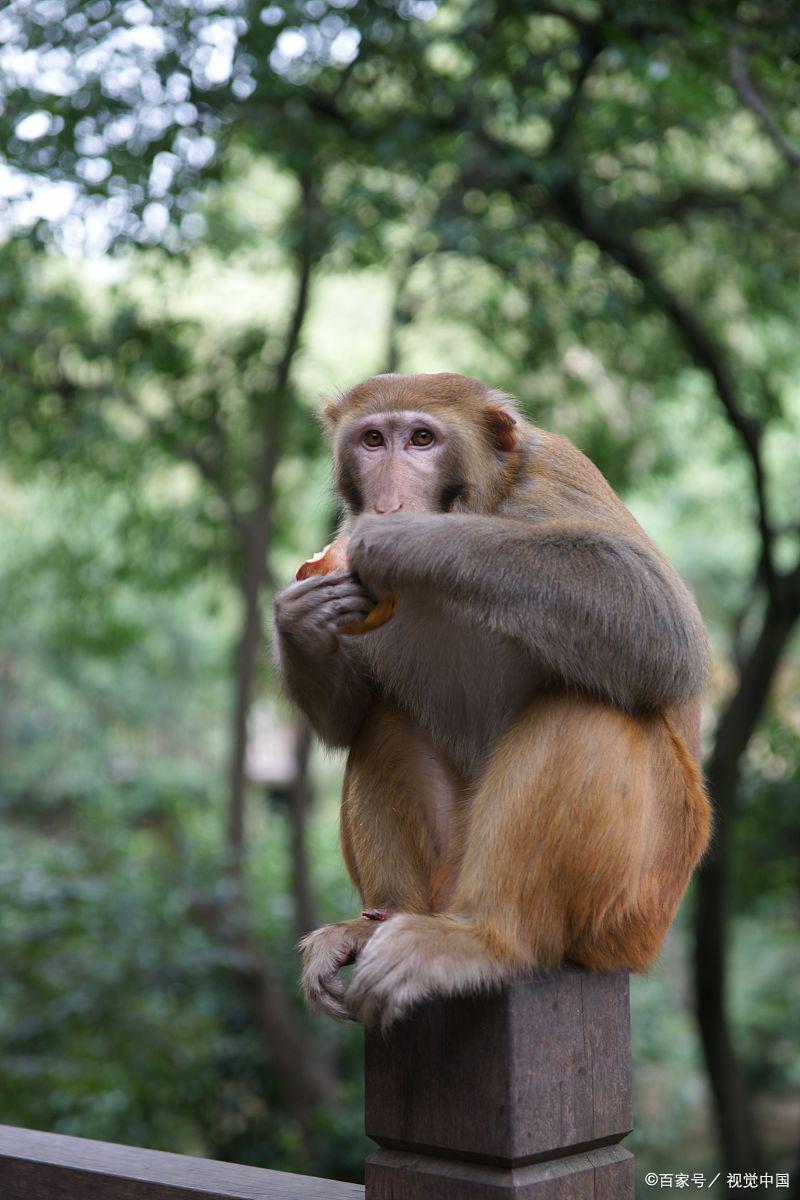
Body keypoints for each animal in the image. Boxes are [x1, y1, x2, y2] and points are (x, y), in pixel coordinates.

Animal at [272, 369, 710, 1027]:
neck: (482, 501)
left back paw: (490, 940)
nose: (390, 499)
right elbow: (348, 717)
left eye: (422, 439)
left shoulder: (554, 477)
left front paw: (414, 541)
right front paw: (301, 621)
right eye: (373, 439)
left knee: (588, 707)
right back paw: (374, 924)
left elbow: (660, 623)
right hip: (451, 872)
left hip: (637, 903)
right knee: (383, 720)